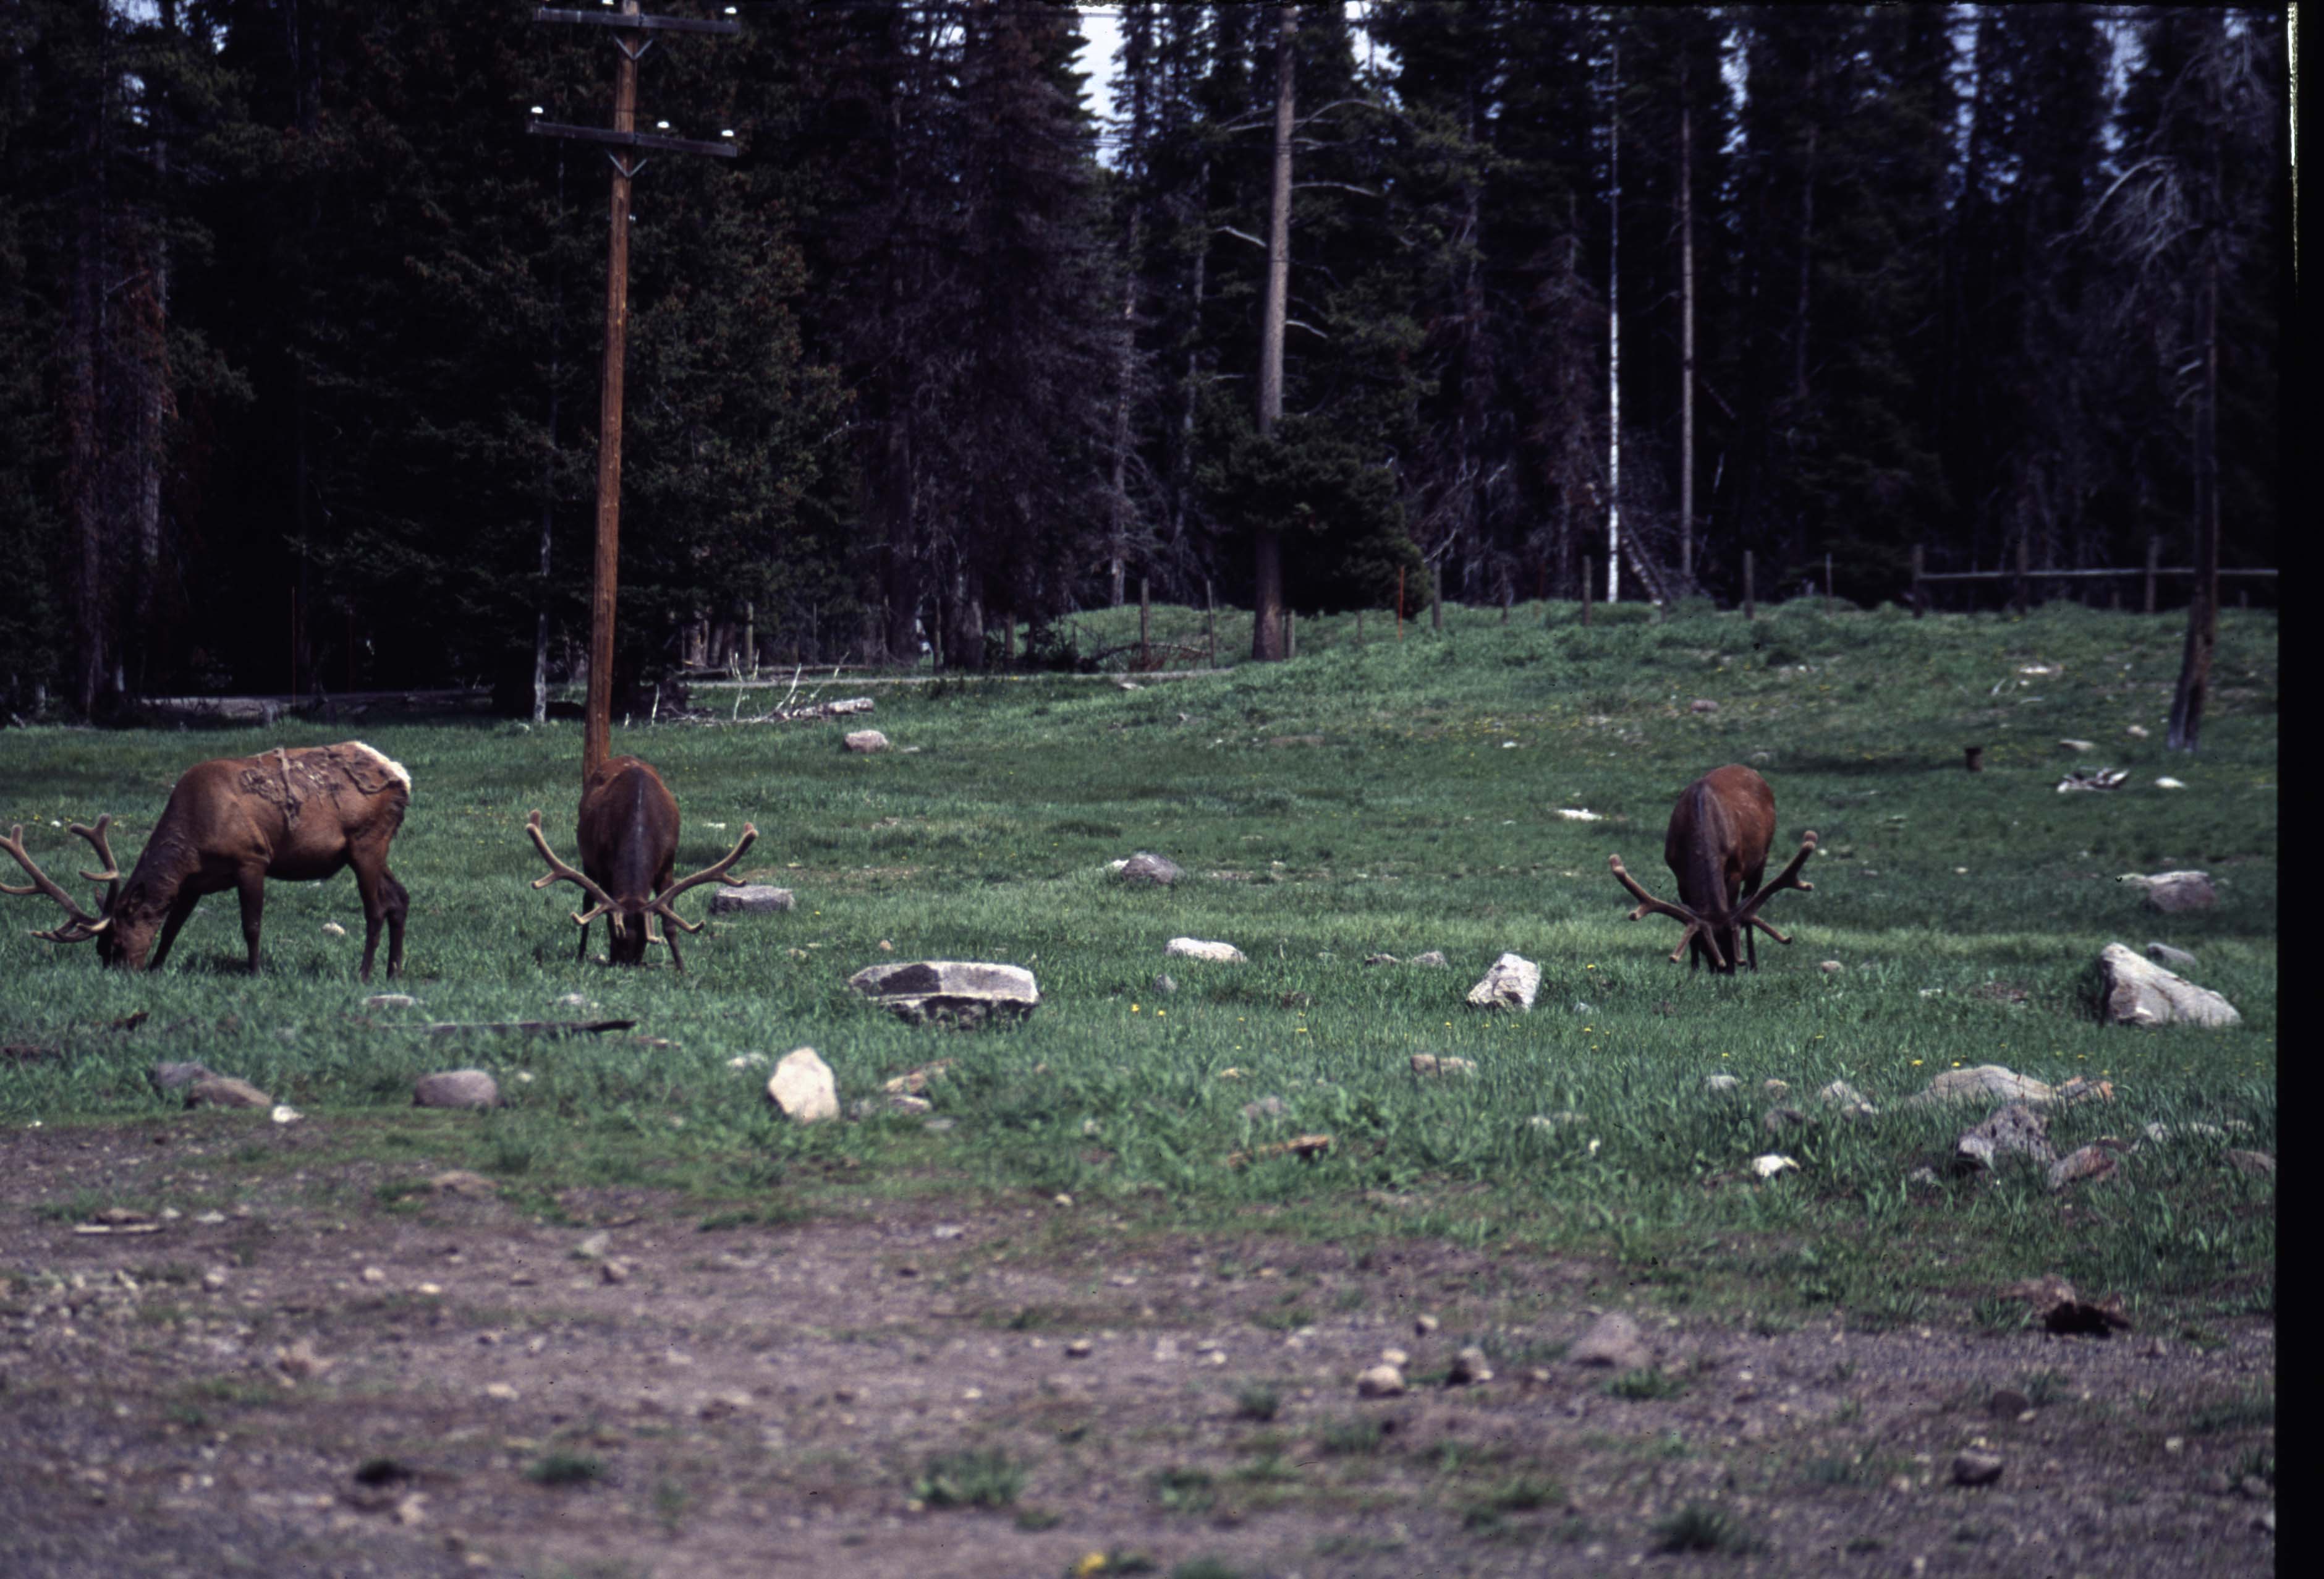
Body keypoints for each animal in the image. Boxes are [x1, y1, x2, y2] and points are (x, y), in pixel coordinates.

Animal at [2, 741, 411, 979]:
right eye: (103, 950)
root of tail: (402, 776)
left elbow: (252, 925)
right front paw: (157, 968)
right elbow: (172, 927)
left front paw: (254, 973)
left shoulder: (252, 858)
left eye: (114, 942)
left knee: (376, 908)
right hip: (371, 848)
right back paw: (393, 973)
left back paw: (363, 974)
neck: (195, 836)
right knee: (400, 898)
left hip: (366, 841)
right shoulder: (194, 881)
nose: (120, 975)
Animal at [524, 756, 757, 969]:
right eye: (617, 935)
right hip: (588, 861)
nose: (625, 964)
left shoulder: (668, 866)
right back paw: (581, 954)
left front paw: (682, 969)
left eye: (645, 939)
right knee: (587, 902)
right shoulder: (605, 869)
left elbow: (670, 922)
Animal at [1606, 765, 1818, 974]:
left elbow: (1732, 908)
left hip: (1762, 858)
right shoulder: (1679, 874)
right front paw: (1693, 970)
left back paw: (1754, 965)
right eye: (1705, 946)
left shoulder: (1736, 869)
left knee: (1750, 899)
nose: (1726, 972)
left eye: (1733, 943)